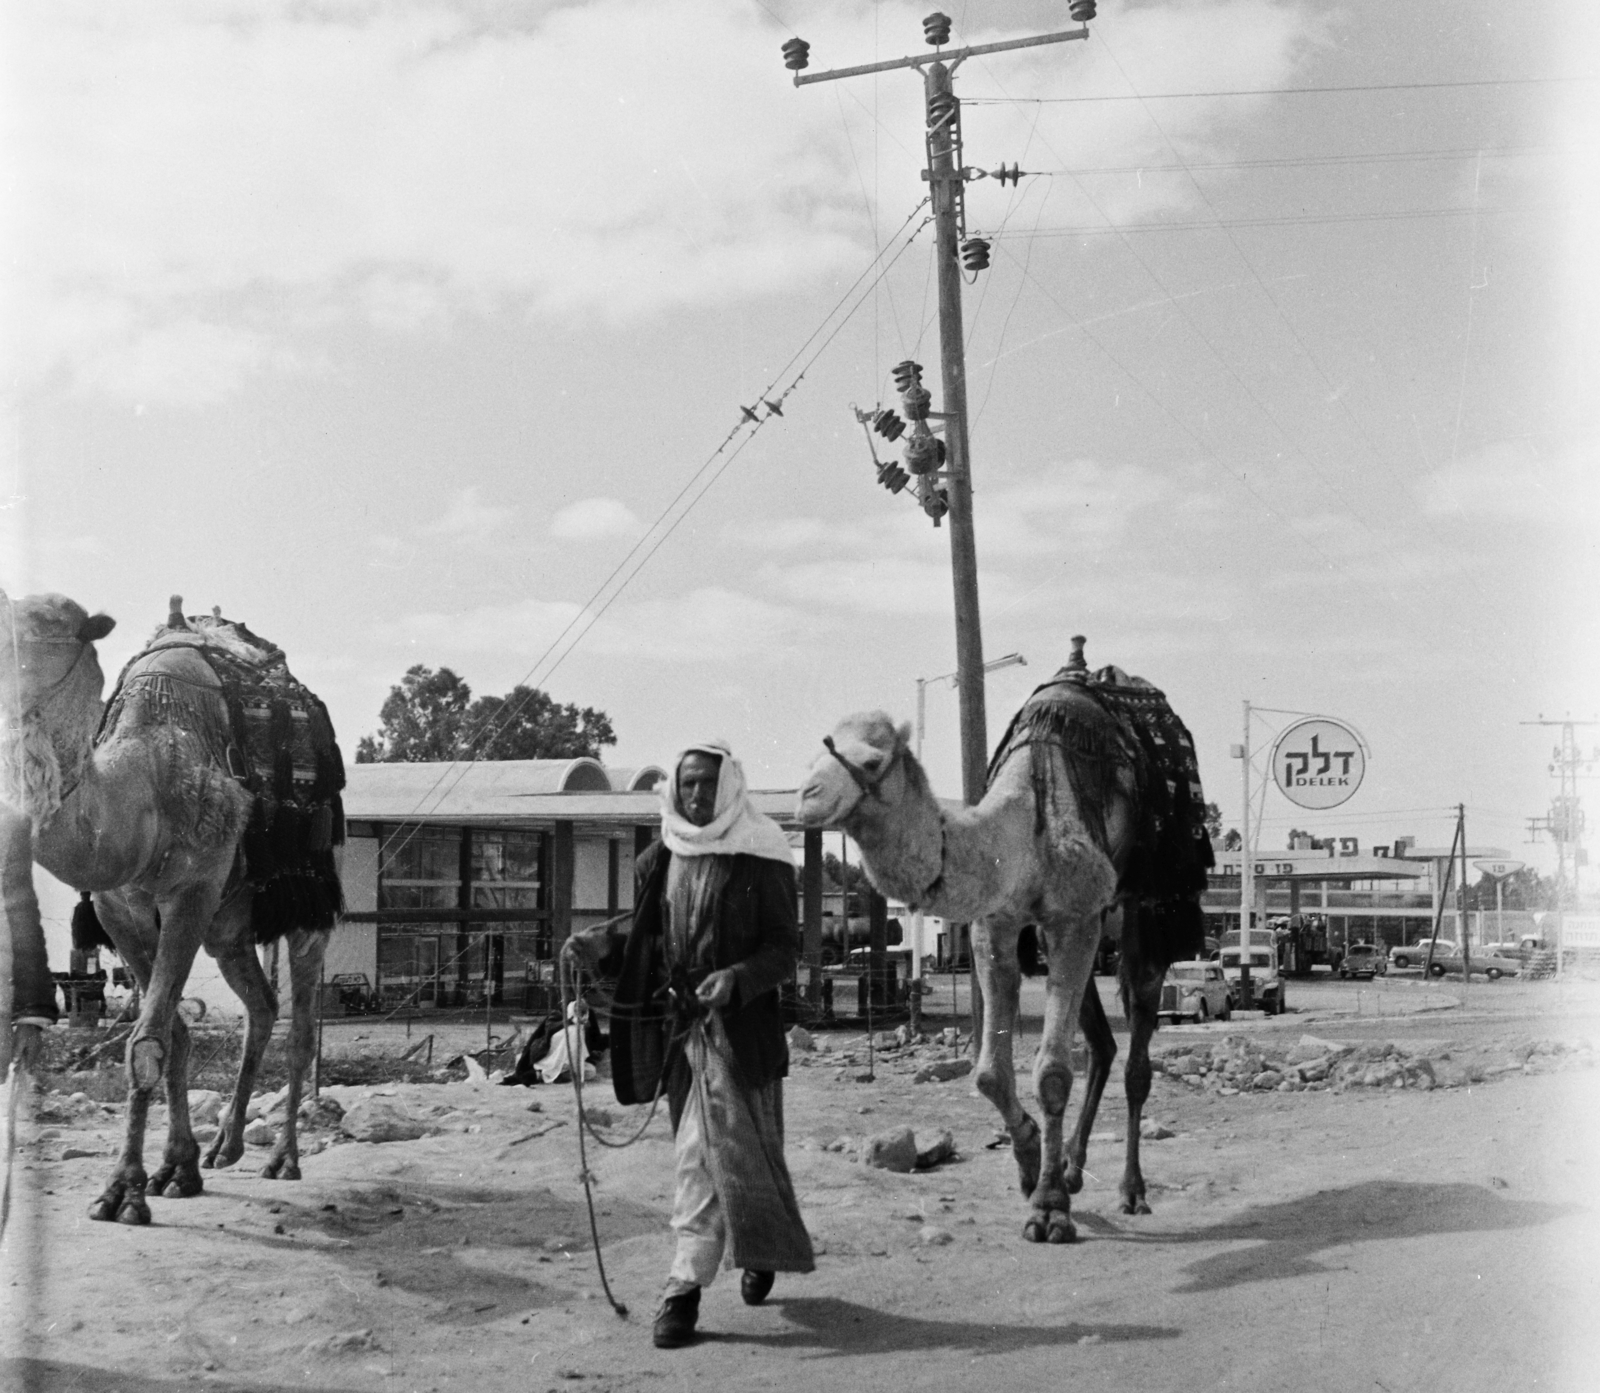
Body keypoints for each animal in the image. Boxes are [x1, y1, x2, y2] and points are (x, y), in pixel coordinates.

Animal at [1, 594, 345, 1228]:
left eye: (44, 625)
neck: (144, 789)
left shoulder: (192, 891)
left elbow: (145, 1042)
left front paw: (122, 1192)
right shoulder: (120, 908)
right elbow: (174, 1034)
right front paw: (174, 1170)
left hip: (307, 900)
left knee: (303, 1025)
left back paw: (283, 1159)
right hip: (229, 928)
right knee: (262, 1006)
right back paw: (224, 1147)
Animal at [800, 639, 1209, 1241]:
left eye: (873, 761)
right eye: (816, 757)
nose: (806, 798)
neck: (1025, 821)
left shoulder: (1075, 917)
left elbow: (1053, 1072)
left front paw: (1049, 1209)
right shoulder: (998, 926)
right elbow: (990, 1073)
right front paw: (1031, 1163)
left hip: (1145, 905)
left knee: (1136, 1049)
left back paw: (1130, 1191)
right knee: (1103, 1044)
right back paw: (1073, 1169)